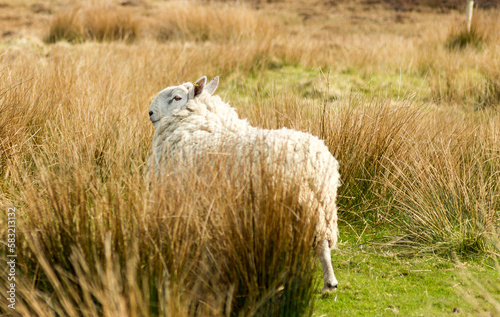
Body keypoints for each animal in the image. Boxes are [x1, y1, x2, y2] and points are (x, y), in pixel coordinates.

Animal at [145, 74, 340, 292]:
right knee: (323, 242)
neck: (195, 123)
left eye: (177, 98)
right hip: (322, 209)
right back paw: (329, 282)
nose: (150, 112)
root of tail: (314, 165)